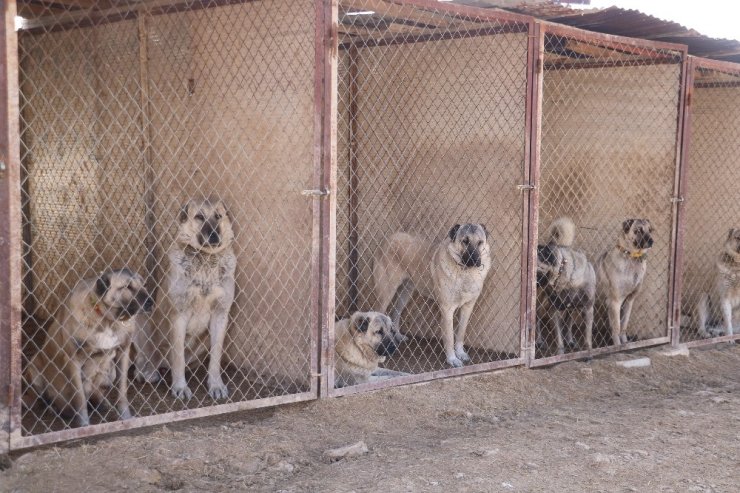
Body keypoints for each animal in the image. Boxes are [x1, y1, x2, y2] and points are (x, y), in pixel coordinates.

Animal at [26, 268, 153, 424]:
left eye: (144, 285)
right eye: (127, 287)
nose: (150, 302)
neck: (107, 320)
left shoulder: (123, 353)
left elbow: (122, 391)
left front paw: (126, 417)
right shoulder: (74, 360)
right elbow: (80, 399)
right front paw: (84, 424)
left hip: (110, 372)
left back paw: (100, 403)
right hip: (34, 365)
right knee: (46, 398)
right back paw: (54, 408)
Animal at [133, 199, 236, 400]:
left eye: (218, 216)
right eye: (199, 217)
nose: (214, 235)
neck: (206, 259)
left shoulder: (220, 314)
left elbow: (216, 356)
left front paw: (216, 385)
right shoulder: (178, 315)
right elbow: (178, 356)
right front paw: (180, 387)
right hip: (141, 318)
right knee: (142, 363)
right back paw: (148, 373)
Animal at [376, 225, 492, 368]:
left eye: (480, 242)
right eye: (465, 241)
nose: (474, 259)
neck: (465, 273)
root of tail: (388, 238)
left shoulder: (467, 307)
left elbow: (461, 333)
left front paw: (460, 353)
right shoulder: (447, 310)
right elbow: (449, 337)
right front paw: (452, 359)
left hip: (406, 292)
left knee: (396, 312)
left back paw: (398, 336)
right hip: (386, 293)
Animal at [536, 217, 600, 352]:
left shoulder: (588, 308)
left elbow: (587, 337)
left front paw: (588, 351)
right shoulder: (555, 310)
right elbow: (559, 337)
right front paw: (560, 351)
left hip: (572, 307)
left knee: (569, 321)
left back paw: (569, 340)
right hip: (540, 299)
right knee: (537, 316)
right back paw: (539, 340)